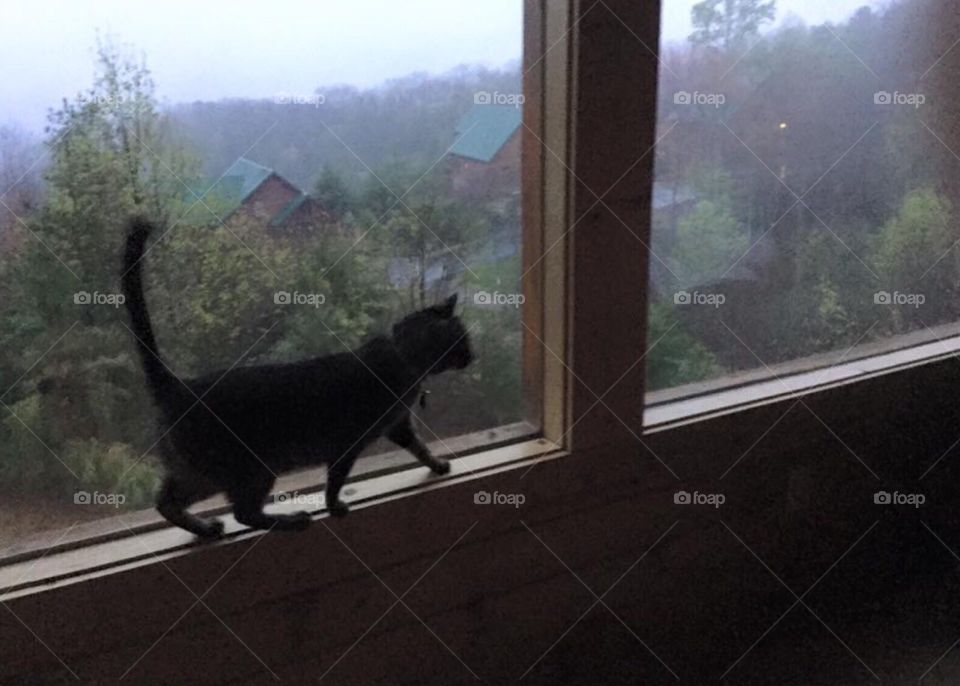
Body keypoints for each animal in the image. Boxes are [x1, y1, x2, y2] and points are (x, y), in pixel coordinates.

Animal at [122, 218, 474, 540]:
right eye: (464, 341)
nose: (474, 356)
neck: (404, 363)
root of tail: (177, 386)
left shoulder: (398, 426)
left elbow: (420, 447)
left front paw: (438, 465)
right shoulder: (348, 443)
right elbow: (335, 480)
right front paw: (335, 507)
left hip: (201, 473)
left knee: (166, 502)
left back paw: (207, 528)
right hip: (249, 469)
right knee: (241, 512)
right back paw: (290, 521)